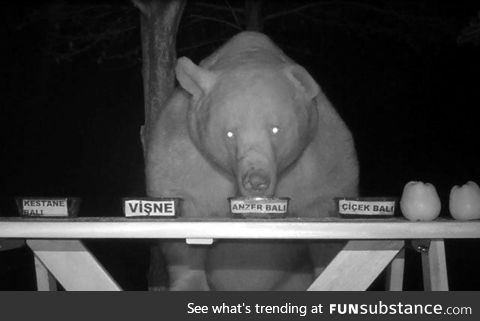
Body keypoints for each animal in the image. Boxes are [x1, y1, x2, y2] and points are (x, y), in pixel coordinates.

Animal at [144, 30, 358, 290]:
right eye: (229, 133)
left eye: (275, 129)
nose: (256, 180)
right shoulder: (183, 154)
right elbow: (184, 225)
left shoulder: (321, 157)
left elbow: (325, 222)